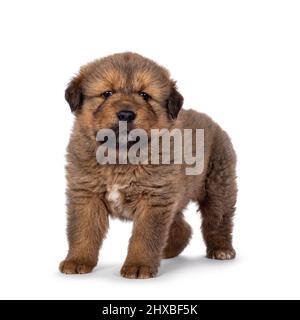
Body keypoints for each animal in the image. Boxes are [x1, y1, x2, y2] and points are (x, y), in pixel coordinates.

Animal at [58, 52, 237, 278]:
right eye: (107, 93)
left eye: (144, 95)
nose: (126, 114)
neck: (120, 155)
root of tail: (214, 122)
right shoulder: (86, 194)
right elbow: (82, 231)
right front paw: (77, 260)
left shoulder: (153, 199)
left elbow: (145, 237)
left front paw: (139, 266)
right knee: (182, 227)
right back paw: (168, 251)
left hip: (218, 187)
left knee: (218, 220)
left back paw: (221, 249)